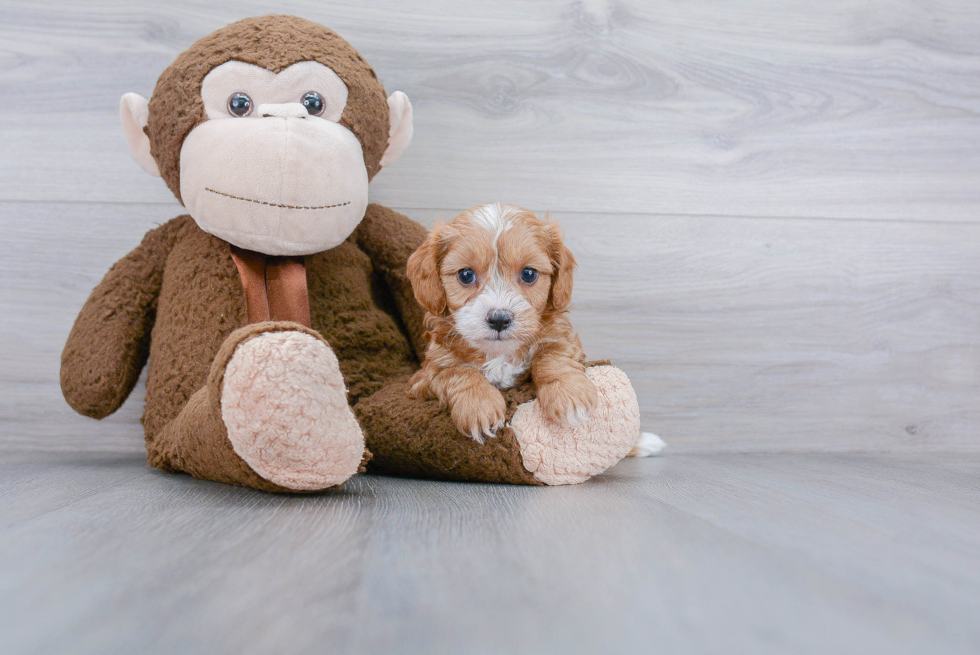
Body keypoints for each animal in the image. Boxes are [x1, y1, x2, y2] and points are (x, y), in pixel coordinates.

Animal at [406, 202, 596, 444]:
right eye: (466, 275)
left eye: (529, 274)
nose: (498, 319)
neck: (498, 353)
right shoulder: (425, 376)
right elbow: (457, 372)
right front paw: (479, 406)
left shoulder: (562, 338)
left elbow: (553, 356)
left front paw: (569, 394)